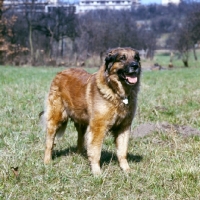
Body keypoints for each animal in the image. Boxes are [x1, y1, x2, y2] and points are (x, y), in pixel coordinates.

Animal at [43, 47, 141, 175]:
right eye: (122, 58)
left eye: (136, 58)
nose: (135, 66)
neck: (115, 91)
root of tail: (60, 73)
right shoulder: (98, 128)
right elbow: (96, 151)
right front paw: (97, 172)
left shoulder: (124, 127)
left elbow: (122, 152)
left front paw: (126, 170)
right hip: (55, 119)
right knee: (49, 142)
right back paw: (47, 161)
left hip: (81, 122)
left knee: (80, 140)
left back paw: (80, 155)